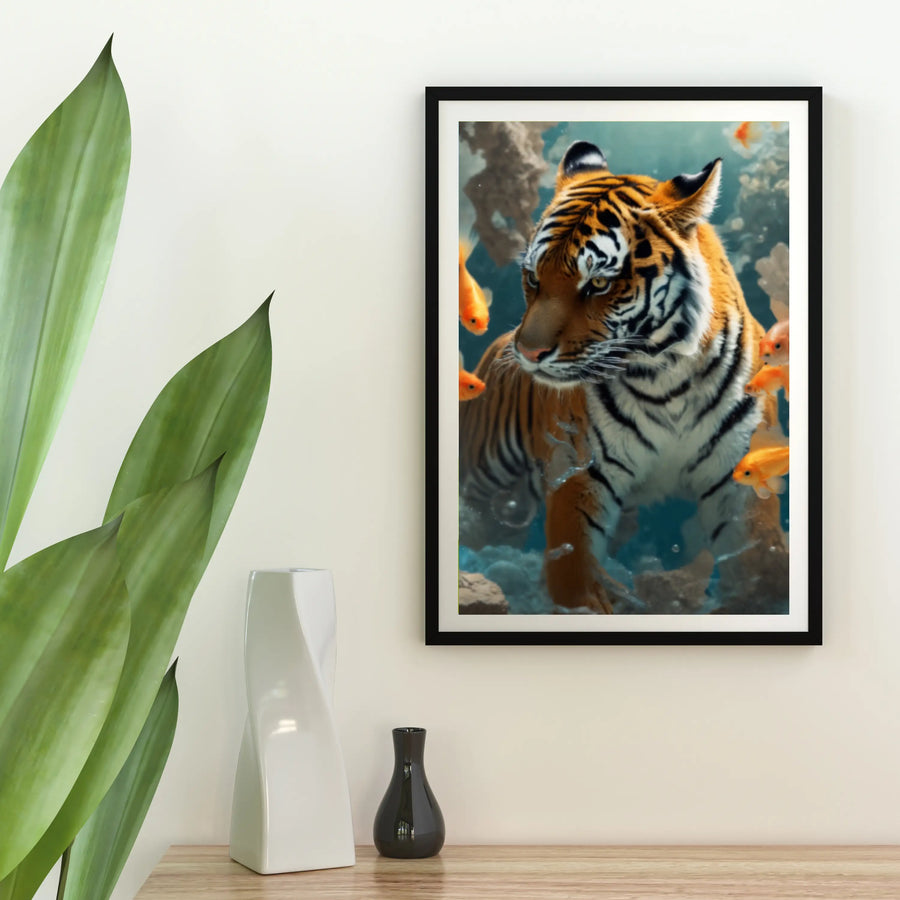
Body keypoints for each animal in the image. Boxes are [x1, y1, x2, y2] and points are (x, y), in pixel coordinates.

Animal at [459, 140, 788, 614]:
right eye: (533, 278)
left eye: (597, 284)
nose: (529, 354)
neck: (666, 375)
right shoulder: (580, 472)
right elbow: (574, 569)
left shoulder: (740, 475)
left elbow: (758, 560)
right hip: (484, 476)